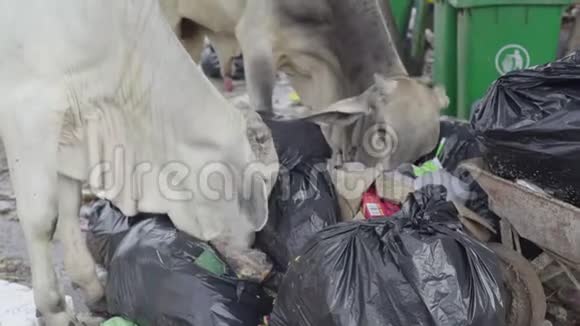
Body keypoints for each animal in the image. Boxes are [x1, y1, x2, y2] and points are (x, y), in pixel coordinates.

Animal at [0, 1, 278, 324]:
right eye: (262, 184)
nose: (258, 257)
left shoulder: (68, 130)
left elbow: (68, 211)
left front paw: (92, 288)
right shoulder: (28, 110)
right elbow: (43, 221)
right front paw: (54, 309)